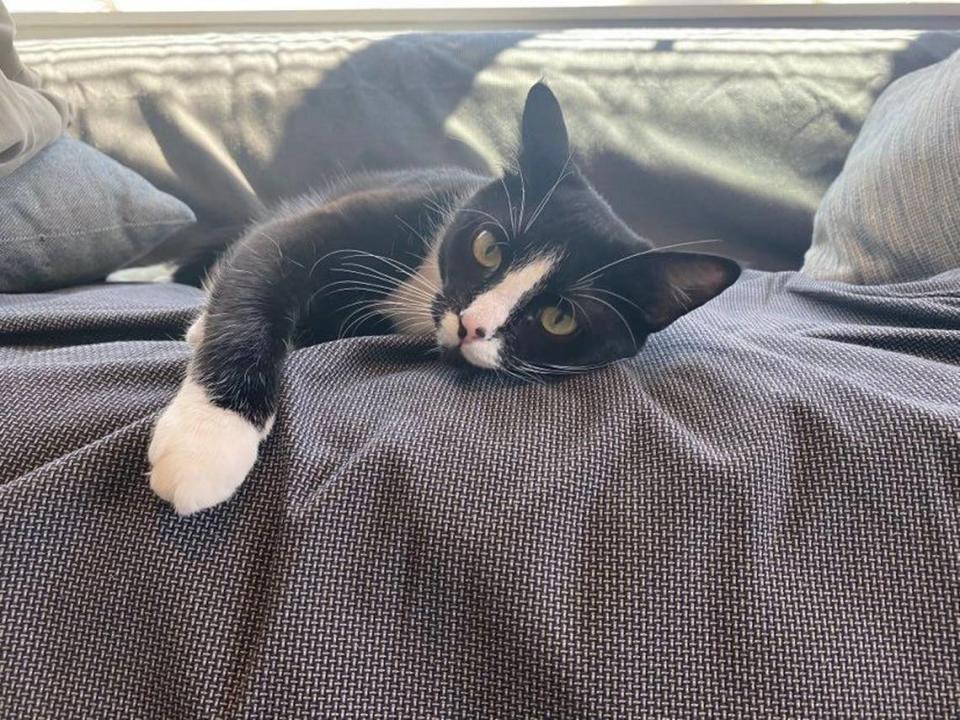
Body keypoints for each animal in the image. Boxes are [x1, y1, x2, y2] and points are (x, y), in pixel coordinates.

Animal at [146, 81, 740, 516]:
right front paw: (208, 438)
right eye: (487, 247)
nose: (472, 324)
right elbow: (259, 277)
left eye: (559, 318)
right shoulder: (330, 223)